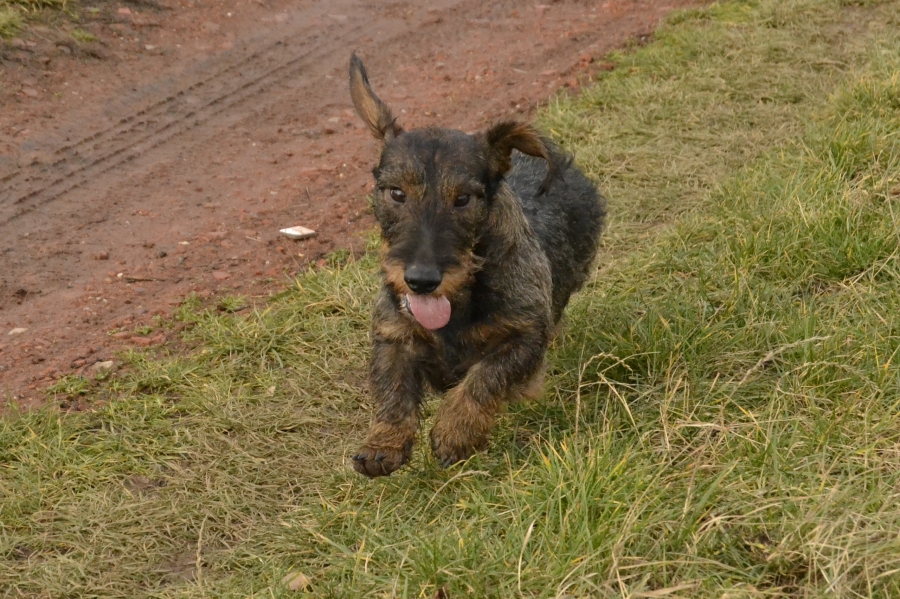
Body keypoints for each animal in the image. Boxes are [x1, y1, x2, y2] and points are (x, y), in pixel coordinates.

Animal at [348, 54, 606, 477]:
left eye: (464, 199)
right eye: (396, 193)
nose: (421, 280)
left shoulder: (525, 337)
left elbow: (484, 378)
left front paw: (455, 431)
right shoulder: (393, 335)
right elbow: (392, 389)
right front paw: (383, 443)